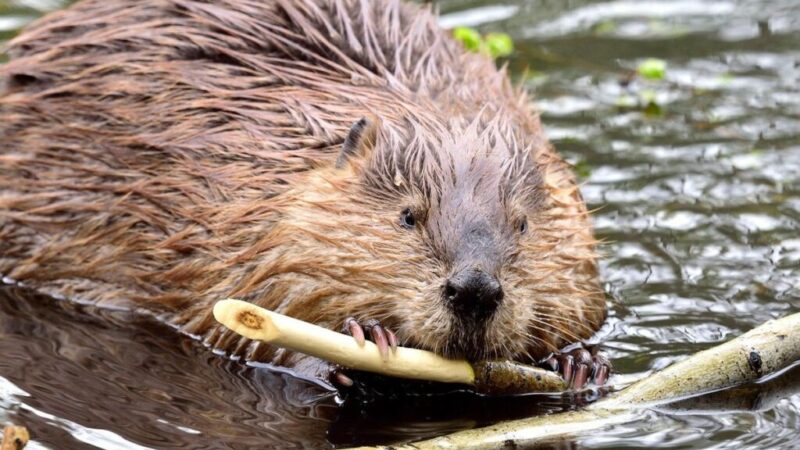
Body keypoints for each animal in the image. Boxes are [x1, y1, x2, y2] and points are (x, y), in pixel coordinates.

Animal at [0, 0, 608, 386]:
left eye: (523, 223)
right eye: (408, 216)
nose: (475, 289)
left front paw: (581, 362)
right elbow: (239, 319)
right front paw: (363, 339)